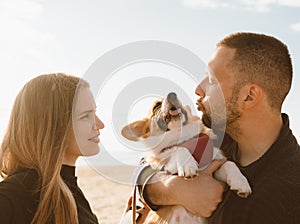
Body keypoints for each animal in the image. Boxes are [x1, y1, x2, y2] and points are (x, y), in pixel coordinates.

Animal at [121, 92, 251, 223]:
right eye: (156, 105)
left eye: (179, 98)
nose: (172, 95)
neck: (182, 136)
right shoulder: (167, 168)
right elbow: (179, 149)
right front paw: (188, 165)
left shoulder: (214, 169)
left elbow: (229, 164)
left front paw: (241, 182)